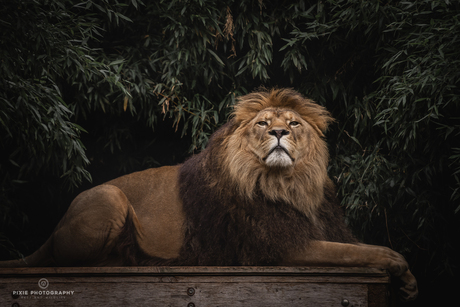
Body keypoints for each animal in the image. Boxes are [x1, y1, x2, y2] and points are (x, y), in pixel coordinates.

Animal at [0, 88, 416, 302]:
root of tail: (55, 228)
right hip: (110, 197)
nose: (279, 132)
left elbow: (357, 246)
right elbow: (360, 252)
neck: (288, 183)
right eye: (263, 123)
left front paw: (408, 280)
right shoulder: (280, 247)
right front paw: (398, 266)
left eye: (294, 123)